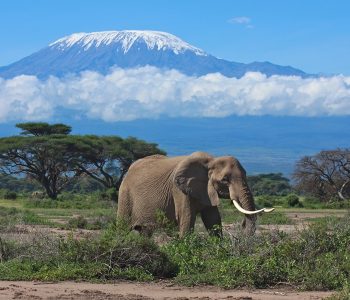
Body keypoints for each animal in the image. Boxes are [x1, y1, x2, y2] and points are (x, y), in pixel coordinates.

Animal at [117, 151, 274, 236]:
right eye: (225, 179)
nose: (242, 224)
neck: (211, 161)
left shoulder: (206, 190)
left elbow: (213, 220)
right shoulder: (178, 190)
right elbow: (186, 219)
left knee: (144, 232)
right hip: (125, 193)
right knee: (122, 227)